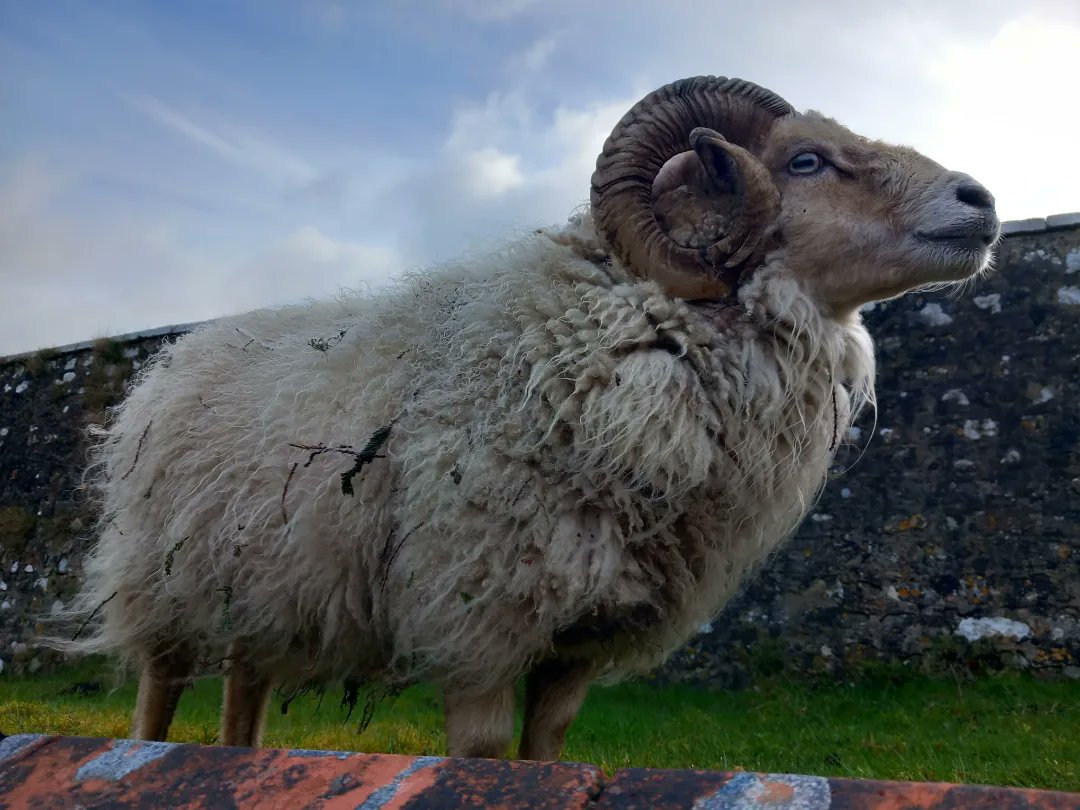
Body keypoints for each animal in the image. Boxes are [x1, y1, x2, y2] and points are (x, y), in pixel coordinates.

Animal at [48, 75, 1000, 761]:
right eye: (804, 161)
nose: (981, 199)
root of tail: (178, 355)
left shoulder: (582, 640)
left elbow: (545, 755)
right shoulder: (479, 618)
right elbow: (479, 756)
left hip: (265, 585)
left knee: (243, 694)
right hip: (164, 581)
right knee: (159, 695)